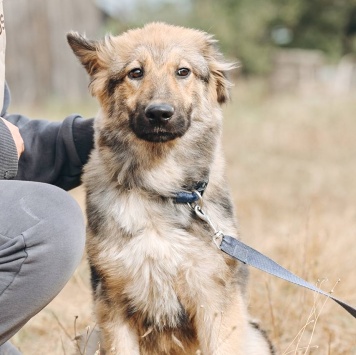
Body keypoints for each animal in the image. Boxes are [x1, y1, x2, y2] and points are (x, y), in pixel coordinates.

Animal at [67, 23, 274, 355]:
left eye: (183, 71)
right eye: (136, 72)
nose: (159, 113)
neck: (159, 187)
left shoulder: (212, 298)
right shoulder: (113, 303)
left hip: (254, 337)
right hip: (91, 336)